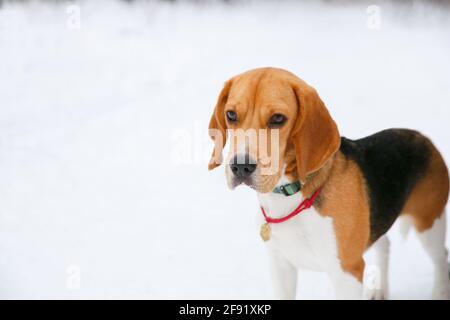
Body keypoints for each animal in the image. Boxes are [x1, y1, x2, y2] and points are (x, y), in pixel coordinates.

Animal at [208, 67, 450, 300]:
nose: (241, 166)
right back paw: (379, 290)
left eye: (277, 118)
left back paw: (439, 293)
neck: (290, 196)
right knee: (384, 245)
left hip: (429, 224)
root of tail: (423, 137)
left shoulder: (347, 274)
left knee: (441, 258)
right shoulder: (281, 266)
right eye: (231, 115)